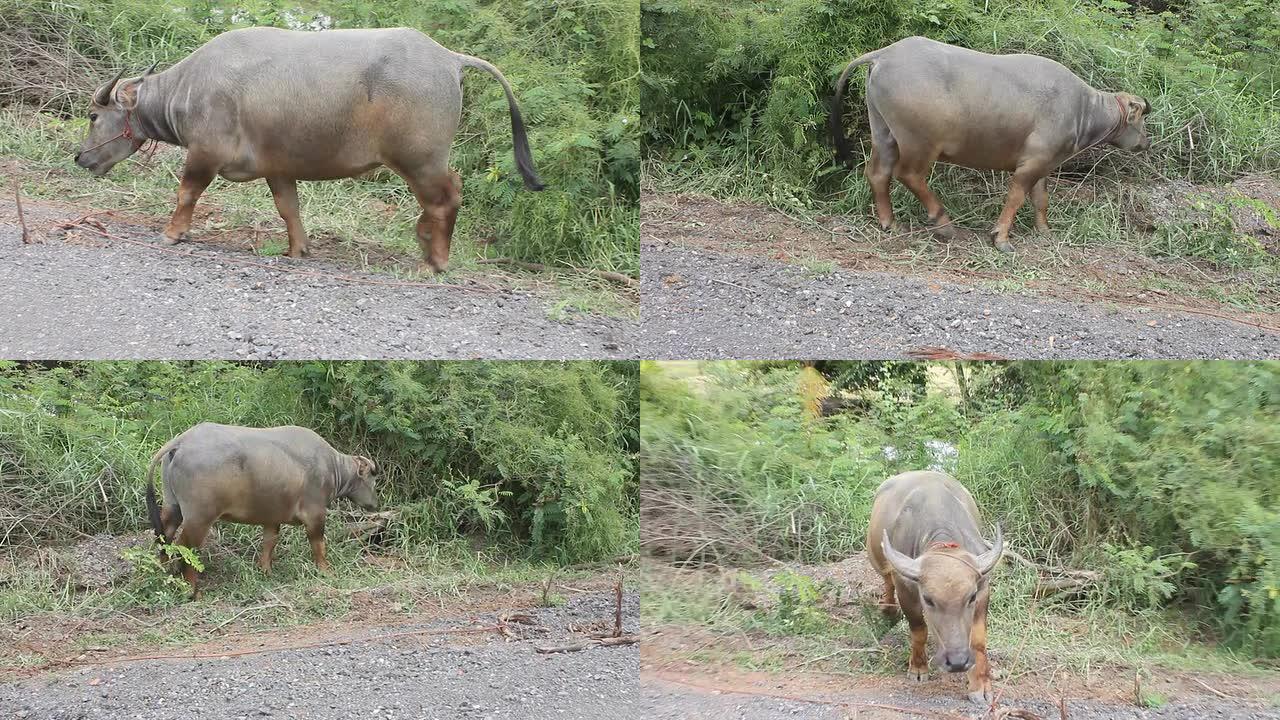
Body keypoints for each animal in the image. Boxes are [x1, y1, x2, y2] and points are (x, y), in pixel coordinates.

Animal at [73, 26, 545, 270]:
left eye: (94, 116)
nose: (79, 156)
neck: (190, 90)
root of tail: (449, 58)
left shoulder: (204, 153)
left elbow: (187, 191)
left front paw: (173, 232)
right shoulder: (278, 167)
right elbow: (289, 207)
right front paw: (298, 249)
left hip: (419, 158)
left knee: (446, 197)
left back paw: (436, 258)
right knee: (438, 200)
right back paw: (426, 244)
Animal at [144, 420, 378, 594]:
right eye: (372, 478)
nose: (375, 504)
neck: (331, 468)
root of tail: (181, 442)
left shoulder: (272, 519)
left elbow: (269, 544)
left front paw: (265, 571)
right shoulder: (315, 514)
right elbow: (318, 545)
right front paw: (326, 571)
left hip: (173, 505)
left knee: (164, 535)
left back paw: (162, 571)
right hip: (200, 517)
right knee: (186, 545)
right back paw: (192, 590)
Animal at [829, 38, 1152, 254]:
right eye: (1140, 119)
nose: (1146, 142)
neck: (1082, 109)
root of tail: (883, 55)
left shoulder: (1045, 164)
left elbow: (1041, 199)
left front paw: (1044, 230)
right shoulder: (1031, 164)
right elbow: (1016, 197)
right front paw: (1001, 238)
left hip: (884, 132)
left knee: (878, 173)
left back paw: (889, 222)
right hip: (919, 142)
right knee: (908, 175)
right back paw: (943, 222)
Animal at [865, 471, 1003, 702]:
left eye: (971, 597)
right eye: (928, 599)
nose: (957, 662)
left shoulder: (983, 588)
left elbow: (978, 640)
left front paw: (980, 686)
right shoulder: (906, 590)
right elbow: (919, 629)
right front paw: (918, 668)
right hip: (876, 558)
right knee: (887, 580)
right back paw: (888, 610)